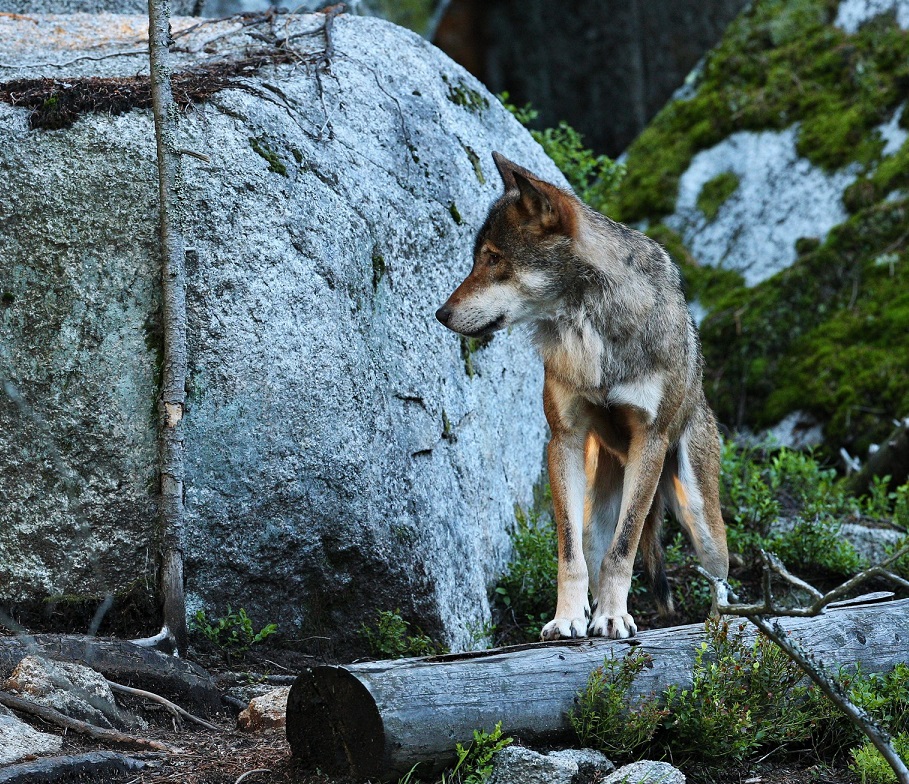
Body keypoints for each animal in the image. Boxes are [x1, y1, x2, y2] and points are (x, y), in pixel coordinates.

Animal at [436, 152, 728, 636]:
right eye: (478, 260)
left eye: (494, 259)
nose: (441, 314)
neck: (589, 326)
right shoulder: (564, 441)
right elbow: (569, 554)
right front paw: (568, 619)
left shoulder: (650, 441)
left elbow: (624, 549)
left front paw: (613, 618)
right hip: (597, 499)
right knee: (593, 550)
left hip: (700, 518)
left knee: (719, 581)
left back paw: (723, 631)